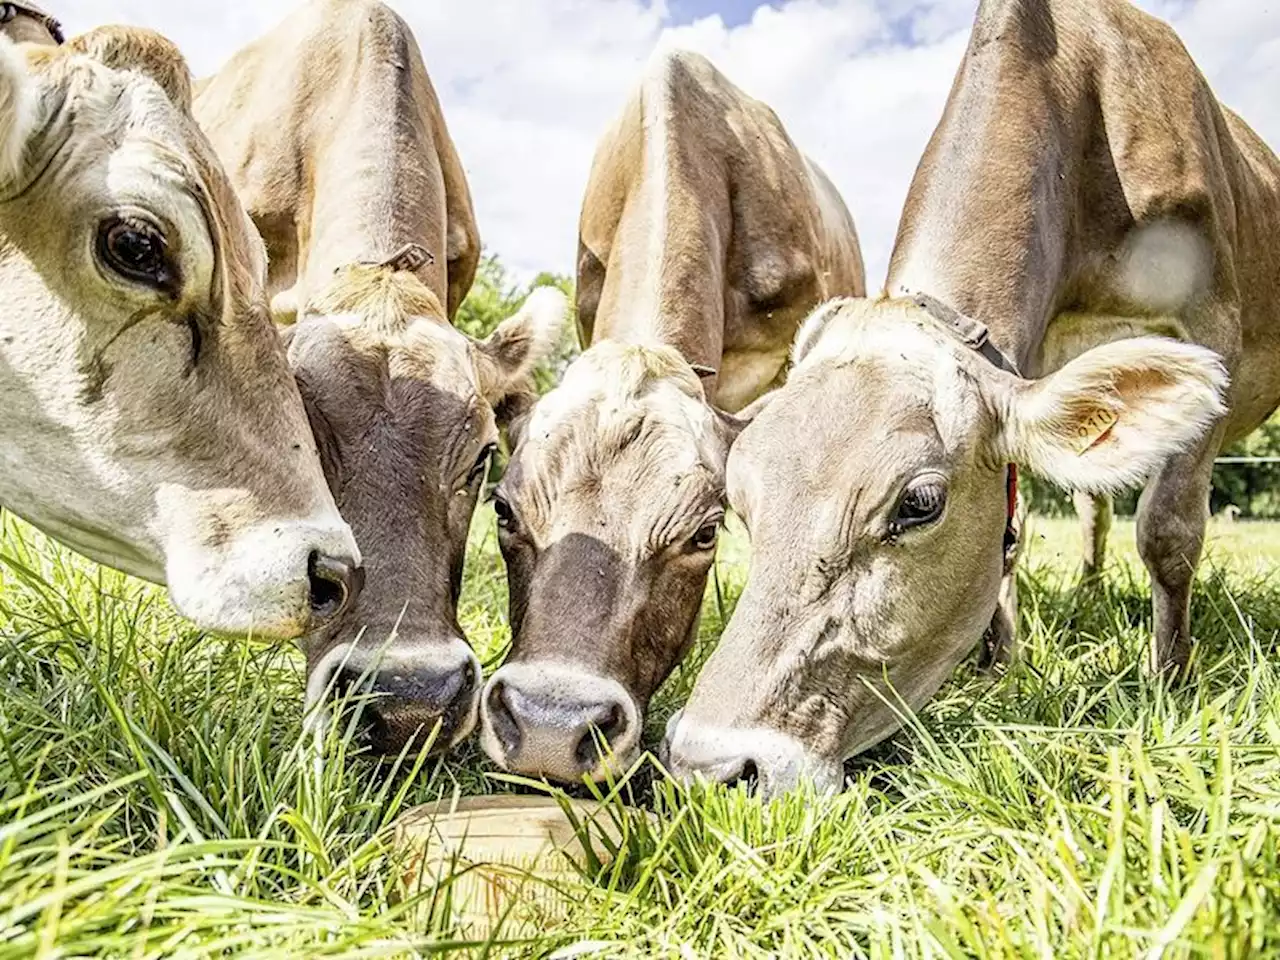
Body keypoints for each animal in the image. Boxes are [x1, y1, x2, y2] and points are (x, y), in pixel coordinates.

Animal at [665, 0, 1274, 798]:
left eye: (919, 504)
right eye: (737, 501)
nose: (712, 765)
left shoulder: (1213, 328)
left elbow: (1169, 533)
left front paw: (1169, 679)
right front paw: (1000, 666)